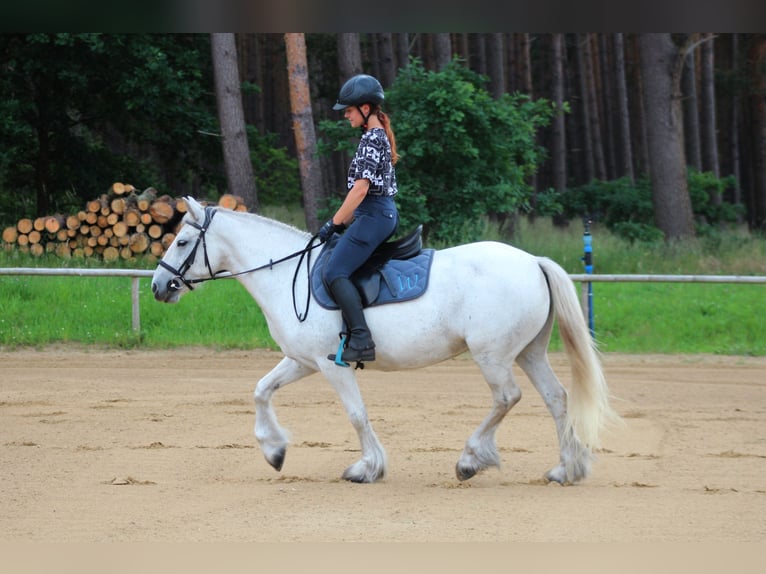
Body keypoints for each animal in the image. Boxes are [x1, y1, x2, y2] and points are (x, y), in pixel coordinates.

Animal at [153, 198, 620, 486]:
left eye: (182, 241)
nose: (159, 286)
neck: (288, 274)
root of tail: (532, 262)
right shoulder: (302, 361)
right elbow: (260, 390)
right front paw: (274, 451)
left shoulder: (331, 364)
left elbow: (356, 414)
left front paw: (367, 468)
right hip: (527, 352)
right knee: (556, 398)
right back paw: (566, 469)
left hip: (494, 356)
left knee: (507, 398)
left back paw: (471, 459)